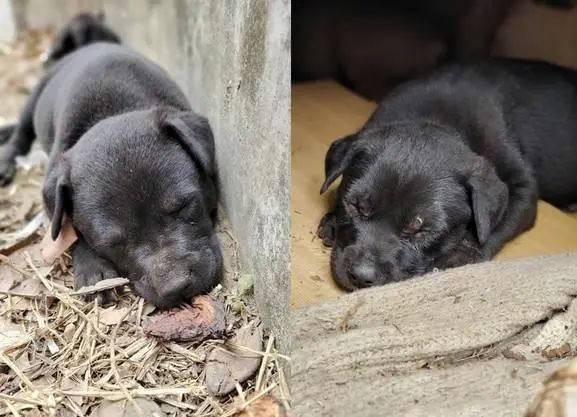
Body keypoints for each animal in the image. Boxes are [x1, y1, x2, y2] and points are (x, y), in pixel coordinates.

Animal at [0, 42, 220, 308]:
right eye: (113, 243)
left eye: (184, 206)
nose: (176, 286)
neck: (110, 111)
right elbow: (69, 231)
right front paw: (94, 270)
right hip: (33, 99)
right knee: (21, 133)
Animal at [318, 58, 576, 290]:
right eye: (355, 205)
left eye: (421, 229)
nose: (361, 276)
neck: (438, 118)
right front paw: (332, 220)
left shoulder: (521, 186)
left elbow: (497, 225)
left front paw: (461, 255)